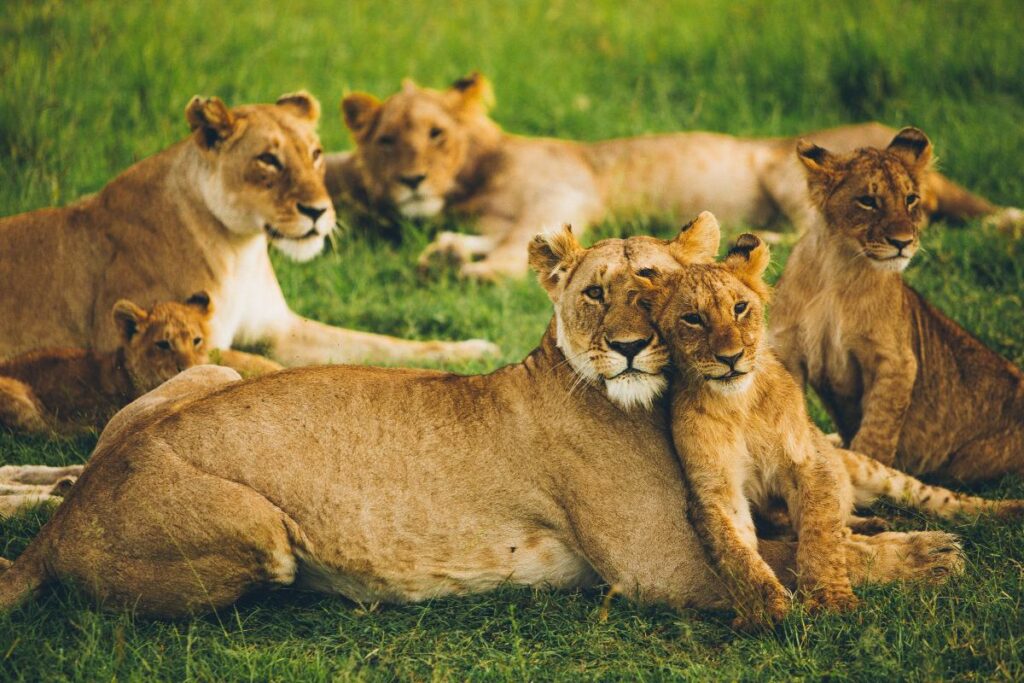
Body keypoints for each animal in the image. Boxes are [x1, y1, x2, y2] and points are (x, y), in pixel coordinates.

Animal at [0, 94, 495, 368]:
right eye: (268, 160)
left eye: (315, 153)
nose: (318, 211)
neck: (241, 249)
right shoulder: (164, 341)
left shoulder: (282, 330)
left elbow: (381, 343)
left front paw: (473, 350)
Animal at [0, 225, 958, 618]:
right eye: (595, 293)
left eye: (653, 282)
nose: (629, 346)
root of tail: (63, 524)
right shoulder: (660, 568)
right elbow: (783, 559)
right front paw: (926, 554)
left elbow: (808, 530)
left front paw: (884, 528)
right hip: (262, 531)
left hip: (203, 370)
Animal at [327, 72, 1024, 280]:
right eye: (387, 141)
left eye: (436, 135)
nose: (412, 180)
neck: (473, 180)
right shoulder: (505, 215)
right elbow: (493, 238)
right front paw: (447, 251)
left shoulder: (562, 192)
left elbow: (512, 251)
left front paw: (469, 271)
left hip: (785, 170)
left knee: (816, 233)